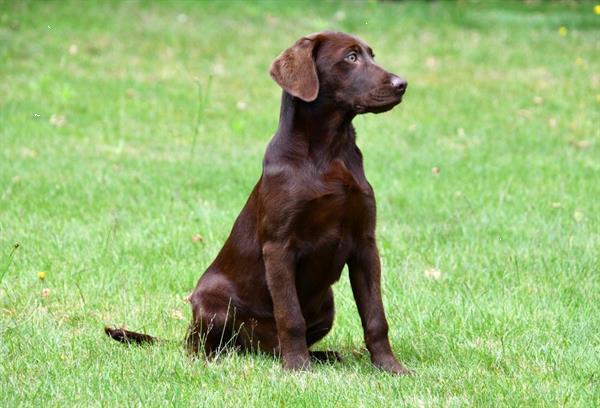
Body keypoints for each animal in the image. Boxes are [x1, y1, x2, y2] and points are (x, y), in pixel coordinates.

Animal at [105, 31, 410, 376]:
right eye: (351, 57)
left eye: (372, 55)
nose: (402, 83)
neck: (328, 152)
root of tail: (256, 348)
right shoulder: (279, 246)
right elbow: (290, 315)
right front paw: (298, 368)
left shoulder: (365, 244)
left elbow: (375, 316)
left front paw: (390, 367)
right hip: (210, 301)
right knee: (201, 346)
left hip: (326, 304)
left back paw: (323, 355)